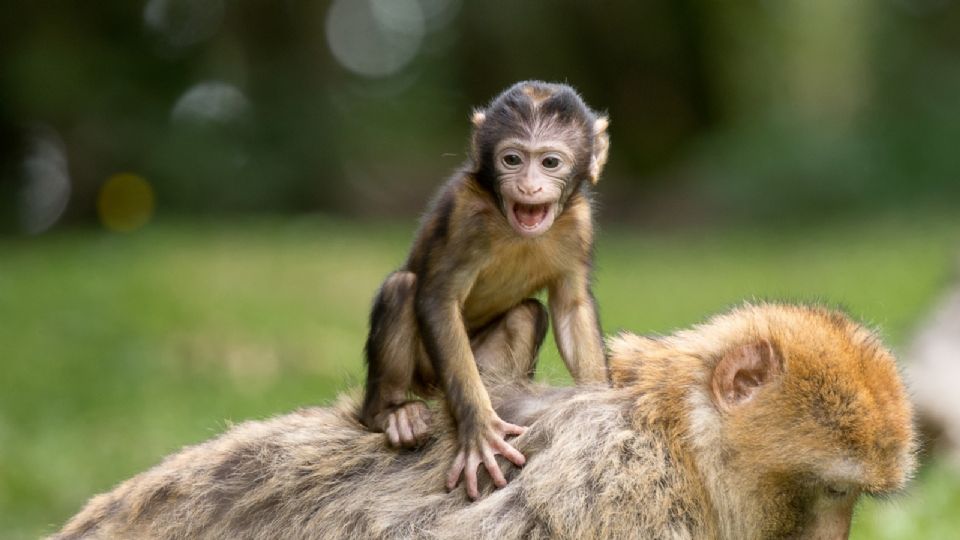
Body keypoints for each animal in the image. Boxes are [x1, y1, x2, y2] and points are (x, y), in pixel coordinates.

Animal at [360, 80, 608, 498]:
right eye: (512, 159)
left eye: (549, 163)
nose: (528, 185)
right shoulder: (465, 215)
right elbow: (438, 300)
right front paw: (479, 430)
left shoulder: (580, 223)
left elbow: (571, 307)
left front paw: (599, 405)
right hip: (427, 374)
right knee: (402, 288)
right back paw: (390, 413)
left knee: (527, 314)